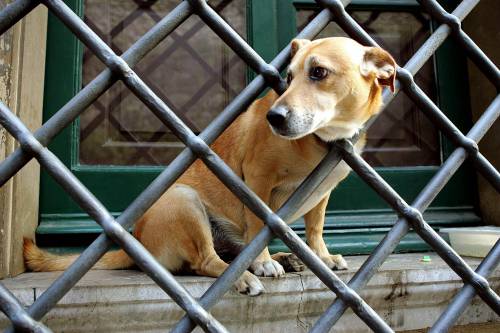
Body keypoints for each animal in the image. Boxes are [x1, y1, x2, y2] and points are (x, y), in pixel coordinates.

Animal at [25, 37, 396, 294]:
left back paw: (283, 259)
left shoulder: (322, 193)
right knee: (207, 262)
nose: (274, 117)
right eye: (288, 78)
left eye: (319, 73)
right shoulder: (258, 178)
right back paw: (248, 275)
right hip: (184, 199)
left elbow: (315, 228)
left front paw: (320, 255)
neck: (322, 140)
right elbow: (260, 223)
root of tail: (137, 244)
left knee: (231, 253)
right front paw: (264, 262)